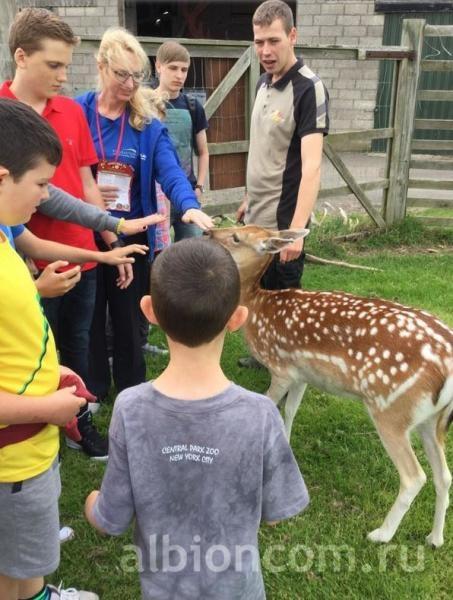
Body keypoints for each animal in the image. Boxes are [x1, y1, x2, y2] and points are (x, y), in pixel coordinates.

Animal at [207, 225, 452, 548]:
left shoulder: (281, 367)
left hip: (390, 409)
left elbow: (272, 406)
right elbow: (290, 411)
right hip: (431, 420)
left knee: (414, 476)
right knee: (444, 475)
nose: (209, 232)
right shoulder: (302, 374)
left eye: (237, 236)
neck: (256, 307)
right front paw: (286, 448)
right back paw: (434, 538)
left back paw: (380, 534)